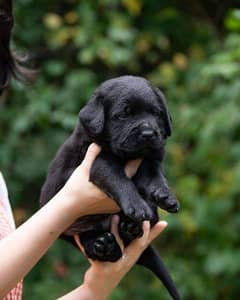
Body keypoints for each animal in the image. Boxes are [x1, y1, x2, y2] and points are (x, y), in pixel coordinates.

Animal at [40, 75, 181, 300]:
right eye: (124, 114)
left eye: (156, 113)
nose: (149, 133)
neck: (128, 156)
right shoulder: (98, 160)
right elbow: (118, 178)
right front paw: (137, 206)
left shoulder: (150, 159)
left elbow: (155, 177)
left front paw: (165, 196)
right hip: (69, 225)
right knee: (89, 243)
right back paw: (104, 245)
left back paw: (128, 228)